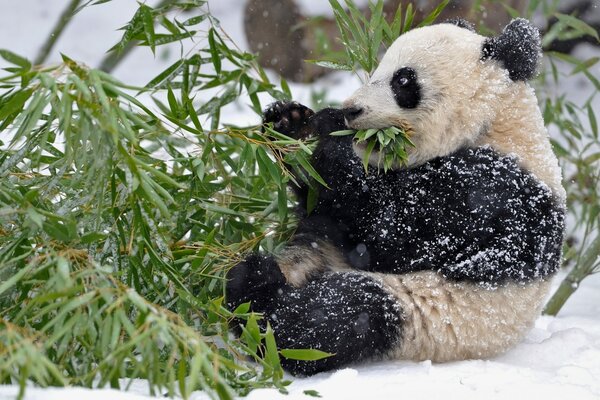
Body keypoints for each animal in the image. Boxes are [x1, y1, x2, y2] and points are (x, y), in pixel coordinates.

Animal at [224, 18, 564, 376]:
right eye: (377, 69)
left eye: (403, 81)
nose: (351, 110)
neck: (495, 122)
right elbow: (325, 204)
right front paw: (290, 122)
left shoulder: (491, 190)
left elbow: (396, 231)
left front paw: (327, 134)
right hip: (319, 252)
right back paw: (246, 282)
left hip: (427, 312)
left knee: (342, 314)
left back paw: (262, 298)